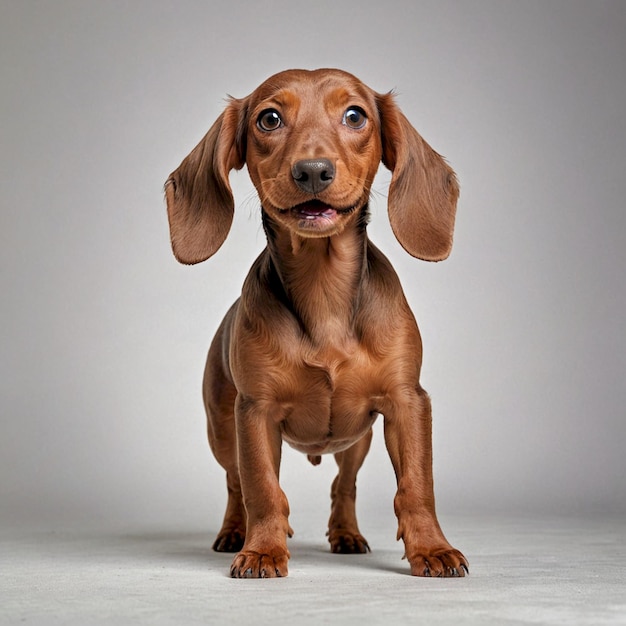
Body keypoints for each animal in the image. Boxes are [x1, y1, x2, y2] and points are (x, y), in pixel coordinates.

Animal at [163, 67, 466, 576]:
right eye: (269, 119)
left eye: (355, 115)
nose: (312, 171)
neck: (323, 291)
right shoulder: (255, 413)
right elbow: (262, 489)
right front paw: (262, 549)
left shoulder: (407, 403)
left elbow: (416, 488)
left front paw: (431, 548)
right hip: (222, 430)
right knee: (235, 483)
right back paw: (235, 532)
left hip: (356, 440)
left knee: (344, 485)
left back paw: (346, 533)